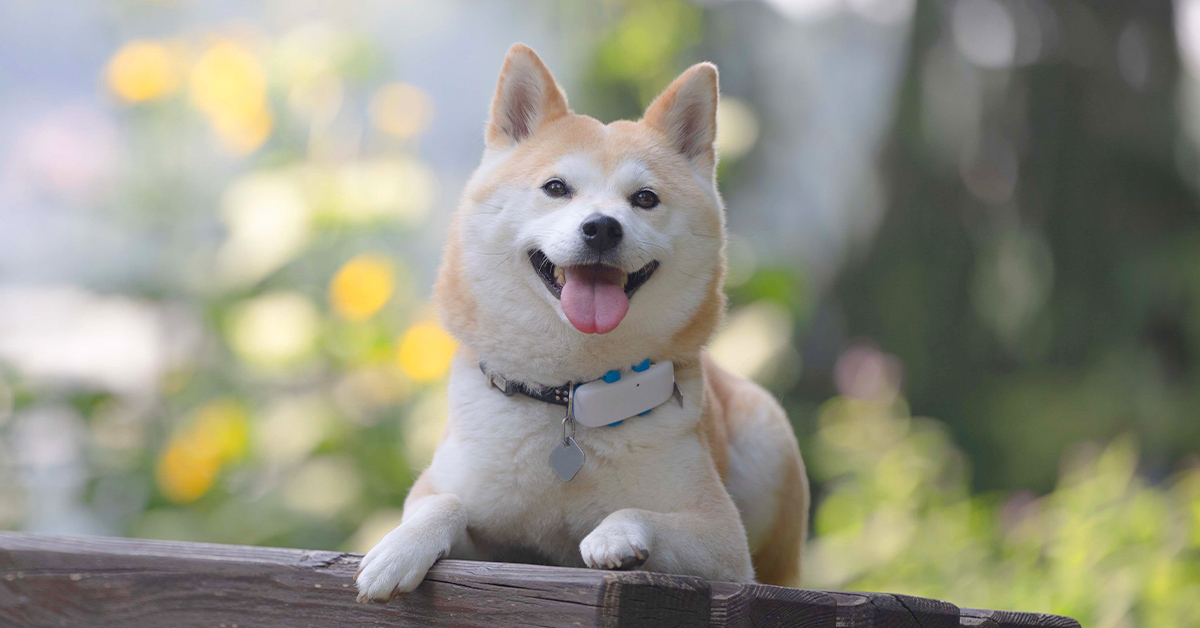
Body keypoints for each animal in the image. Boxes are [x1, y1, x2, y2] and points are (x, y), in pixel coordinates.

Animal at [350, 44, 811, 605]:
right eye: (556, 188)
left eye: (645, 198)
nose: (601, 227)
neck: (568, 396)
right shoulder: (475, 519)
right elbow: (444, 503)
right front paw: (398, 550)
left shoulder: (724, 543)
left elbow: (638, 512)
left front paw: (617, 536)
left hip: (769, 443)